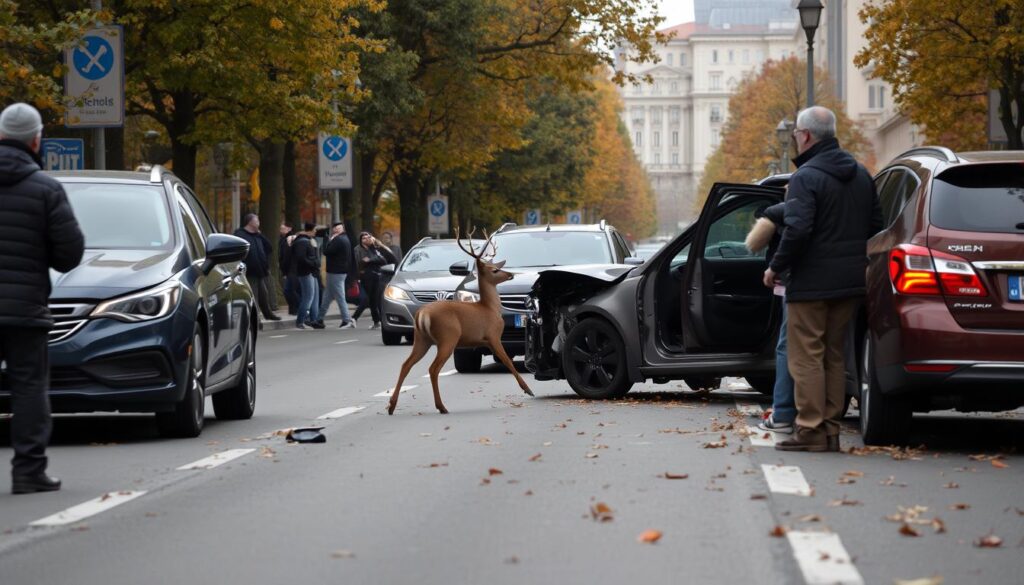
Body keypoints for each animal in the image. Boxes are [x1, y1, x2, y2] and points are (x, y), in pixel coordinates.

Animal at [385, 226, 536, 413]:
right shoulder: (492, 335)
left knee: (406, 364)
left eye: (496, 265)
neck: (490, 308)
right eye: (494, 270)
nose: (510, 274)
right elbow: (508, 361)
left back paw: (391, 406)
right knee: (433, 369)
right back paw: (441, 407)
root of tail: (422, 314)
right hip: (448, 337)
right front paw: (528, 389)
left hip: (421, 339)